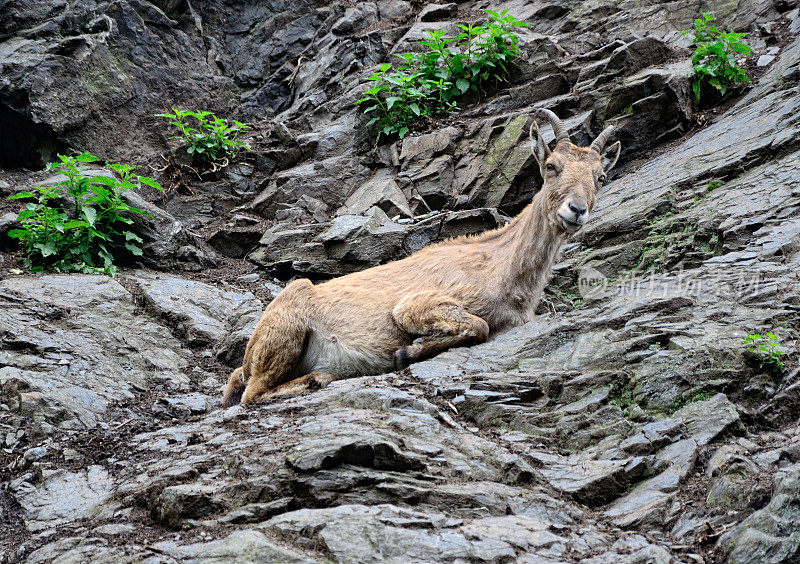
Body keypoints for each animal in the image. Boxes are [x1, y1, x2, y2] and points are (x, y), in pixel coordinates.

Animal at [222, 109, 620, 406]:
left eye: (600, 176)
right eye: (551, 166)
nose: (576, 210)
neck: (501, 265)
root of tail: (250, 354)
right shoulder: (416, 304)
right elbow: (478, 325)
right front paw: (407, 352)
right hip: (286, 329)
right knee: (252, 394)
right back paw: (316, 379)